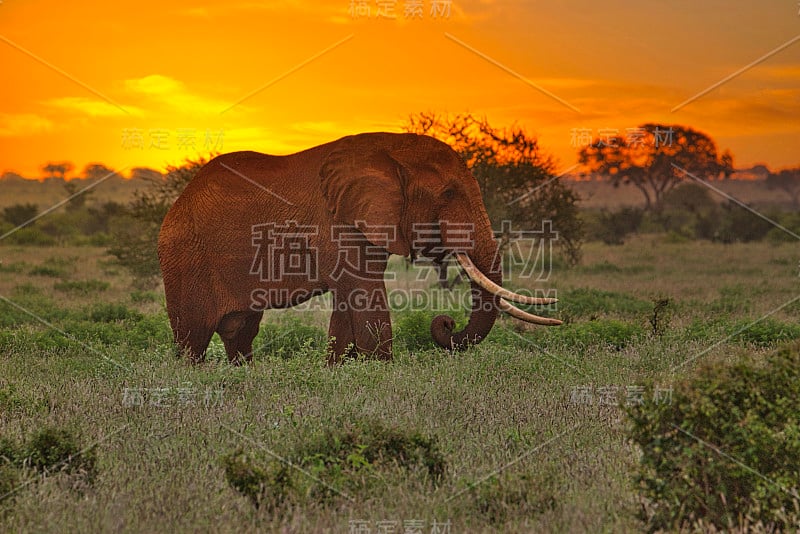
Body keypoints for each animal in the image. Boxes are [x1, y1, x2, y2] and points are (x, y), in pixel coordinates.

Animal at [158, 132, 564, 366]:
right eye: (449, 193)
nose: (446, 323)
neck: (387, 151)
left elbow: (349, 296)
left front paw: (339, 370)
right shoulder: (334, 222)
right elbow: (363, 290)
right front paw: (379, 372)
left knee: (240, 330)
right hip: (185, 260)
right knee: (193, 337)